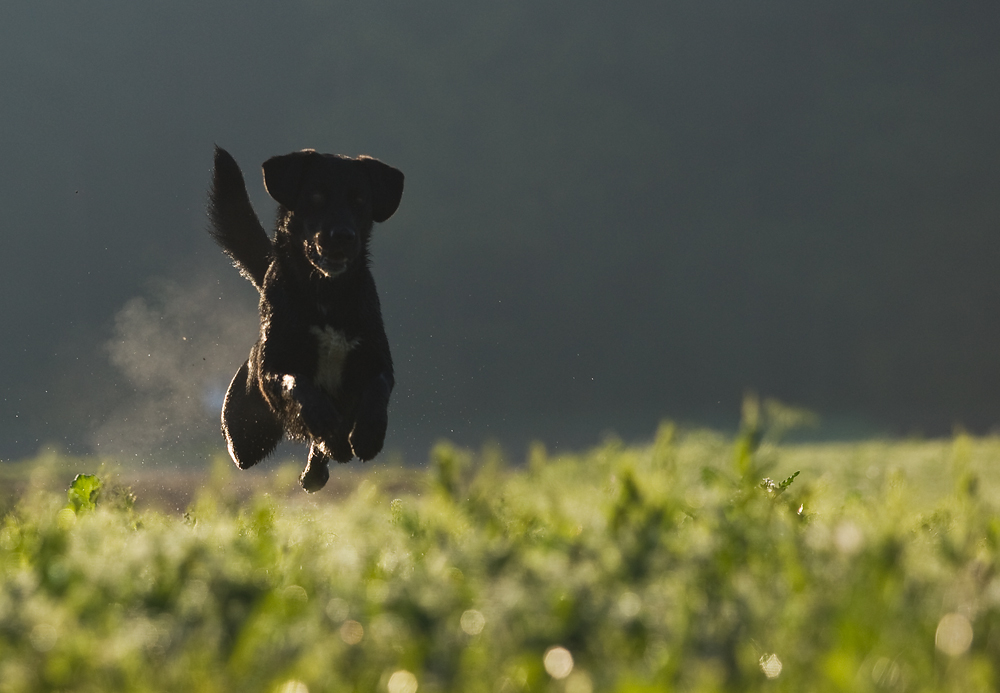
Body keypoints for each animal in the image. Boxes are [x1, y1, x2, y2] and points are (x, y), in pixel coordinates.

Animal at [209, 146, 404, 492]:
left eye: (360, 200)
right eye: (315, 197)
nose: (343, 236)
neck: (326, 293)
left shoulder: (378, 361)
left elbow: (377, 389)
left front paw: (368, 434)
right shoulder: (274, 370)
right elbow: (298, 385)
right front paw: (325, 419)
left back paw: (319, 467)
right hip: (243, 438)